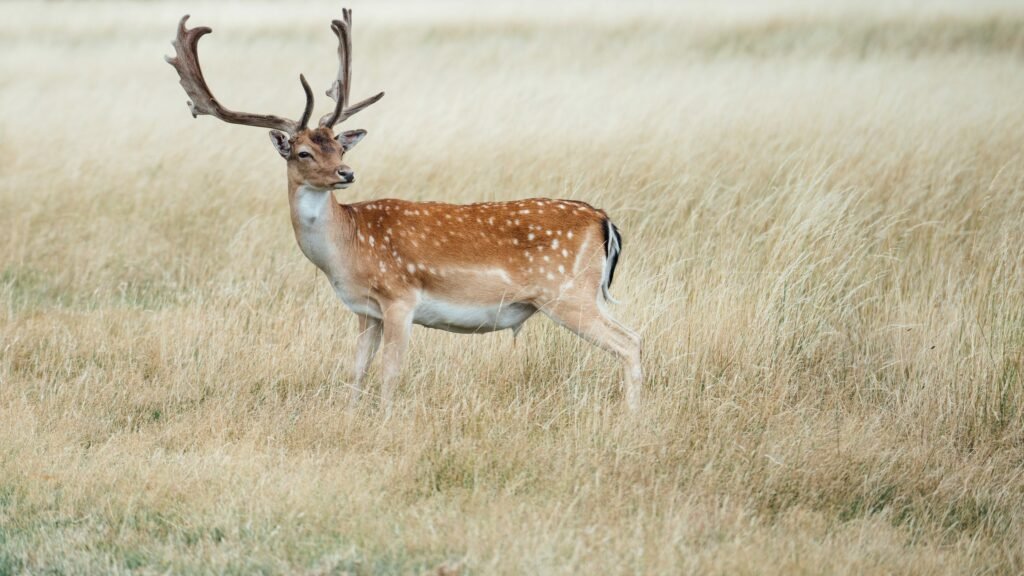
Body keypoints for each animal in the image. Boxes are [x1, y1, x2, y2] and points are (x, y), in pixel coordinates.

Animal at [165, 9, 643, 412]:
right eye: (303, 152)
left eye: (338, 145)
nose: (346, 172)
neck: (347, 249)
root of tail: (603, 220)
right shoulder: (365, 311)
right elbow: (356, 370)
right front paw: (352, 416)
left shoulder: (400, 296)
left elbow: (390, 373)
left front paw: (385, 419)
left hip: (568, 292)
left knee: (631, 341)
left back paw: (632, 417)